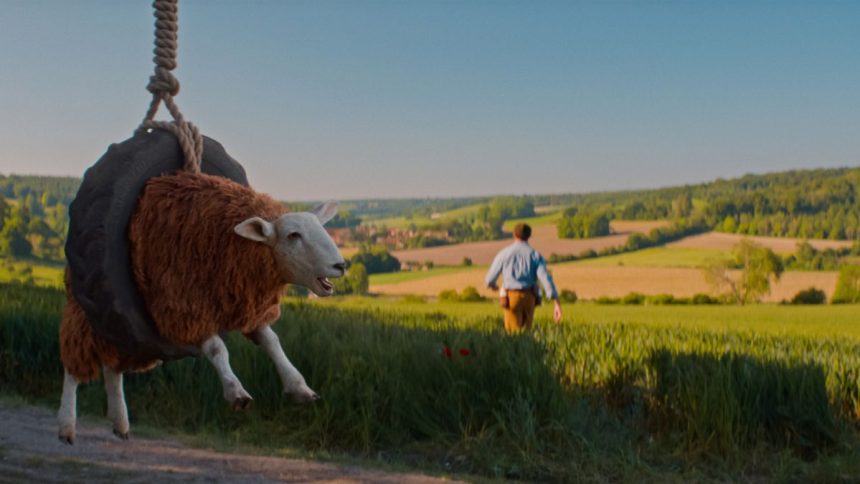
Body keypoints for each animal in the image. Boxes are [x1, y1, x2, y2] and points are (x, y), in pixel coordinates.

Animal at [58, 171, 346, 444]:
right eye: (293, 235)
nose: (341, 265)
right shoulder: (188, 306)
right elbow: (218, 349)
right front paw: (236, 392)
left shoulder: (245, 306)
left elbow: (272, 342)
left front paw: (299, 387)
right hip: (88, 315)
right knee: (74, 366)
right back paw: (67, 425)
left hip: (125, 331)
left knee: (112, 366)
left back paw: (120, 421)